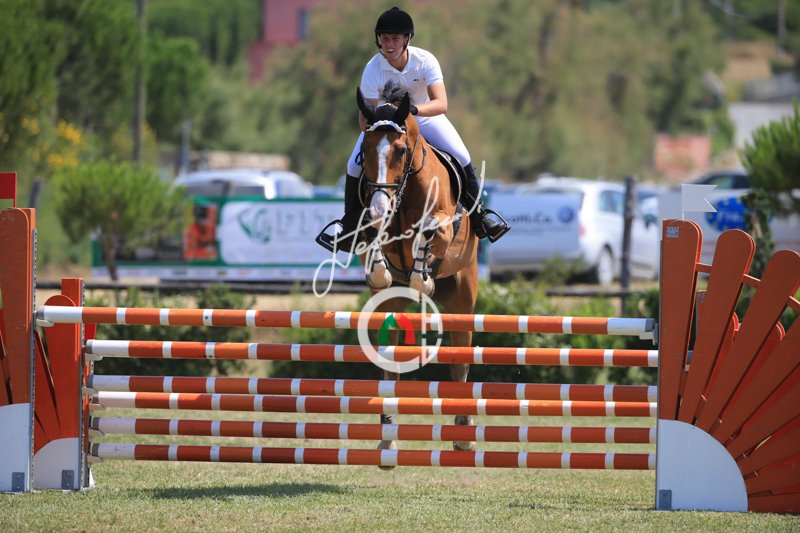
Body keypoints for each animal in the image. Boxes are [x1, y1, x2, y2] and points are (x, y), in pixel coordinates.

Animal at [353, 84, 480, 460]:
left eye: (399, 150)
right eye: (364, 150)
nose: (380, 207)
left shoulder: (443, 226)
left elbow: (428, 234)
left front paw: (422, 279)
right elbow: (373, 237)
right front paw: (381, 271)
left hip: (463, 299)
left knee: (460, 359)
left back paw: (464, 434)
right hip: (388, 308)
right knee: (389, 365)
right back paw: (387, 435)